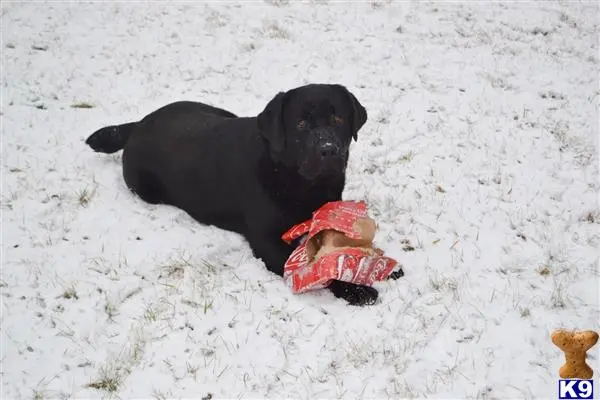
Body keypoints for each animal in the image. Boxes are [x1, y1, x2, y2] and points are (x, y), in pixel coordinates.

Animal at [83, 83, 398, 304]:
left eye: (338, 119)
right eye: (301, 124)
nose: (329, 150)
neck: (290, 176)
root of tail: (137, 124)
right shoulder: (266, 241)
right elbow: (317, 268)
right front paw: (356, 288)